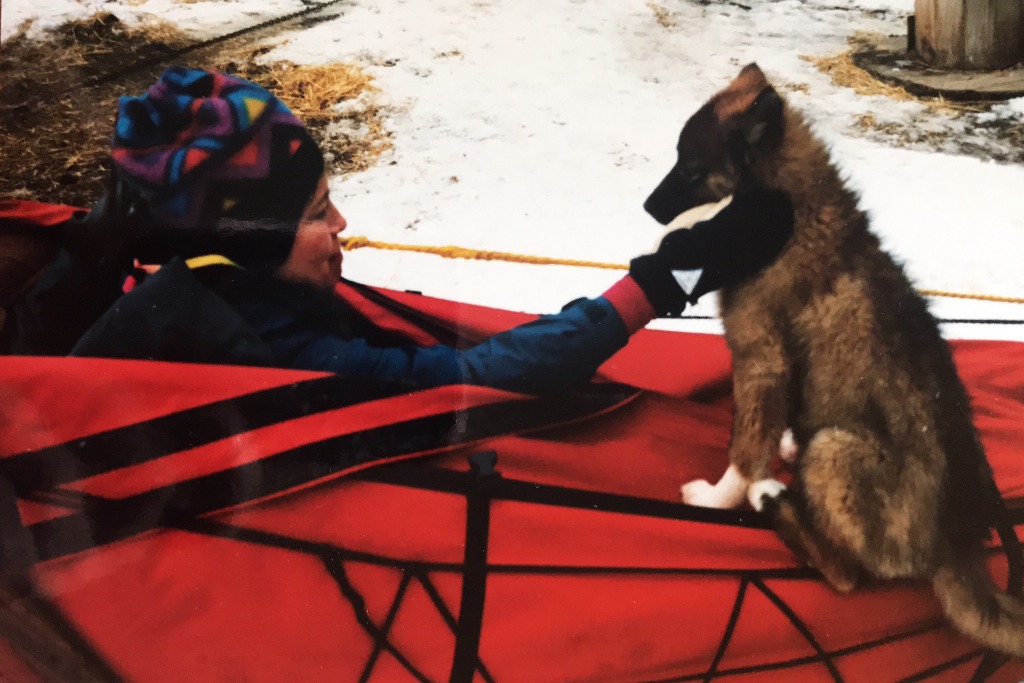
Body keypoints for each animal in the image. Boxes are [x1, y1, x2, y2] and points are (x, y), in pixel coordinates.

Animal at [647, 63, 1024, 655]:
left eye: (691, 168)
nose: (647, 208)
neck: (788, 208)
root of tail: (956, 548)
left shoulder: (761, 360)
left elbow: (744, 450)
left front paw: (715, 498)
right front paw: (778, 442)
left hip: (835, 448)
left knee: (849, 578)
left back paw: (774, 500)